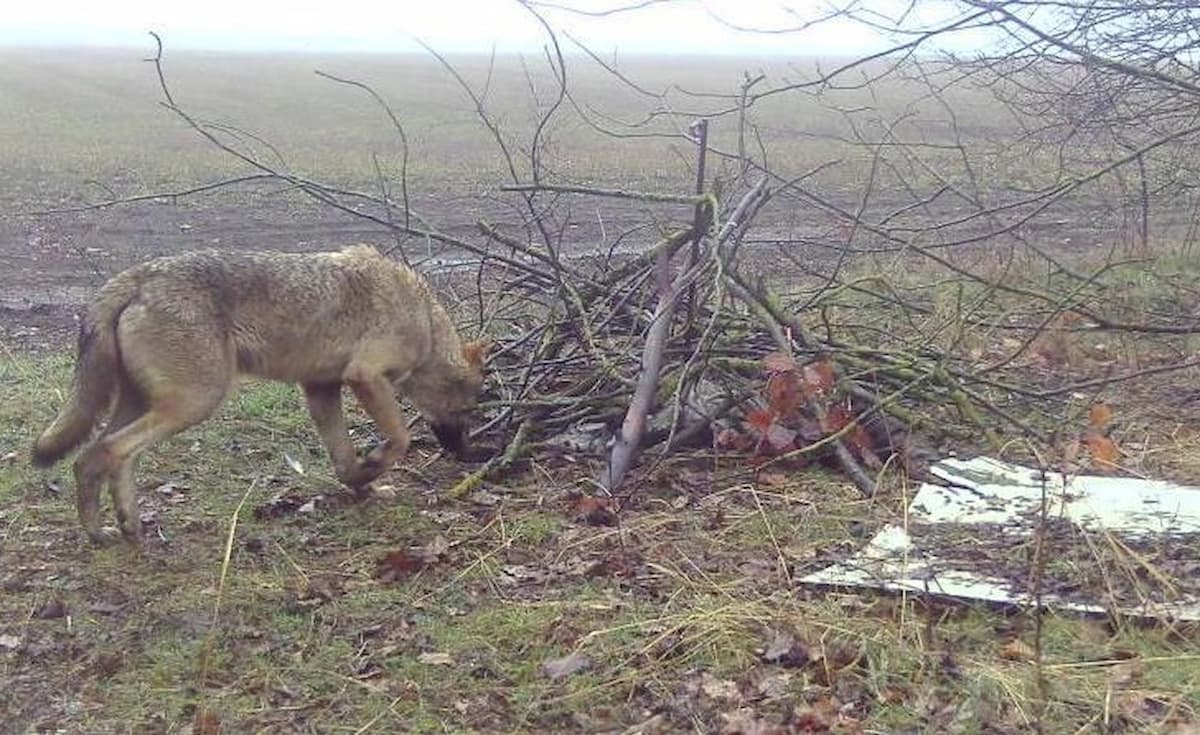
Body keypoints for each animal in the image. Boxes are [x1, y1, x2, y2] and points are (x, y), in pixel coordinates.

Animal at [34, 243, 492, 547]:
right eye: (469, 410)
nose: (469, 453)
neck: (424, 317)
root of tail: (137, 277)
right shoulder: (365, 376)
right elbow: (399, 439)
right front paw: (376, 465)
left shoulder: (321, 390)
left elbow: (344, 461)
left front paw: (365, 487)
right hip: (193, 403)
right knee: (103, 453)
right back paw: (100, 532)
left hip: (143, 406)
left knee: (106, 456)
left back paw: (126, 526)